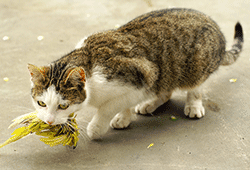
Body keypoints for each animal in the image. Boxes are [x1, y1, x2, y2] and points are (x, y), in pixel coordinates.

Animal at [27, 8, 244, 139]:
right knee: (166, 89)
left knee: (195, 87)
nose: (48, 120)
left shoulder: (145, 76)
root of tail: (215, 26)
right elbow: (122, 104)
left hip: (195, 65)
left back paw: (193, 105)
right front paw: (123, 117)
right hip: (166, 73)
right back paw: (150, 105)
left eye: (63, 105)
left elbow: (108, 107)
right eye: (41, 103)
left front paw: (96, 128)